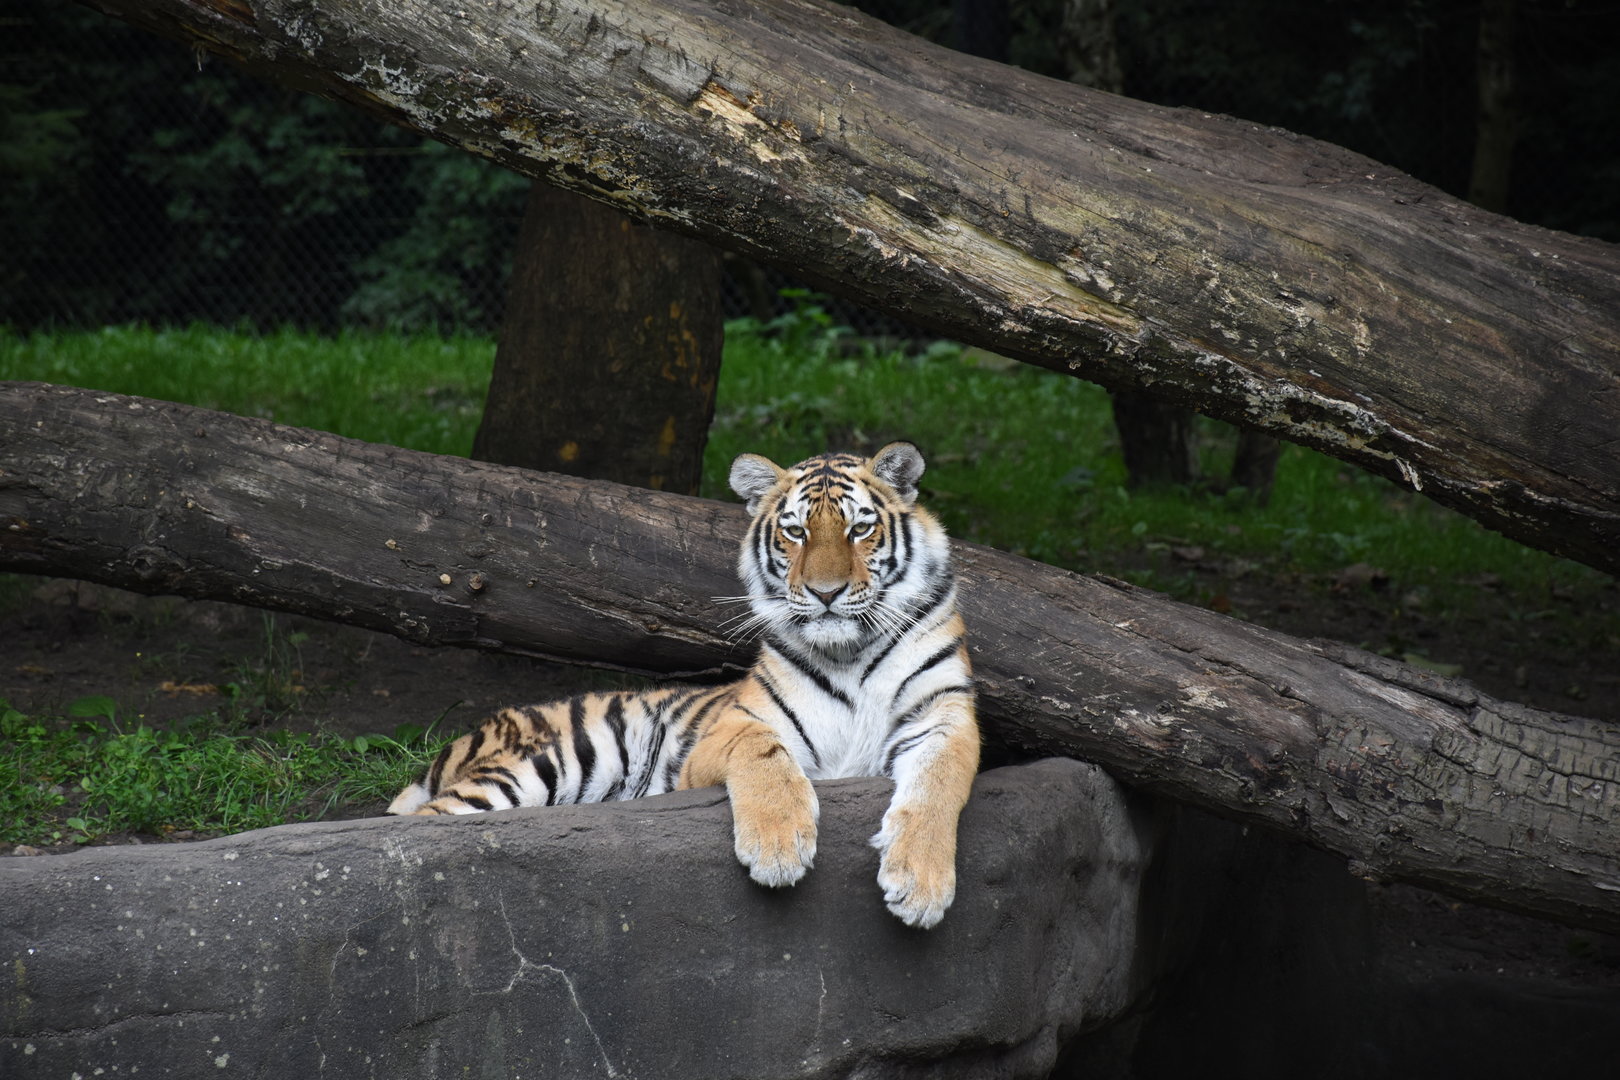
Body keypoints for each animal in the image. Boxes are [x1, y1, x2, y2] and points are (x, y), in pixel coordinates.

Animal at [387, 441, 980, 928]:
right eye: (796, 531)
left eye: (860, 529)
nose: (826, 592)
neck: (847, 654)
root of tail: (483, 725)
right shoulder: (731, 728)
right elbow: (764, 752)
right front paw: (779, 846)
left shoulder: (945, 715)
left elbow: (938, 783)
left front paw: (921, 886)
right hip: (544, 764)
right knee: (425, 822)